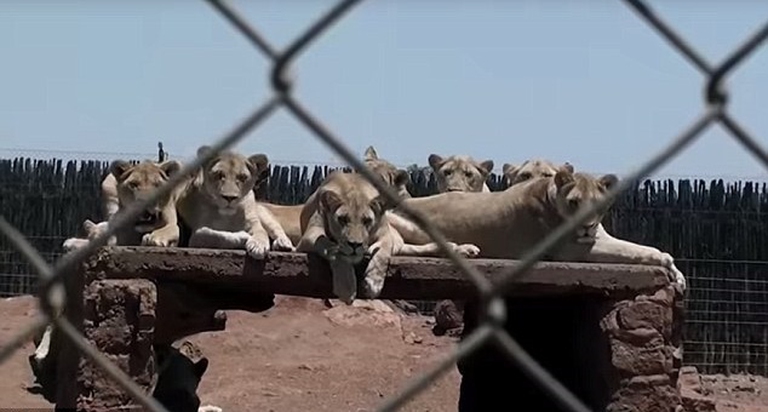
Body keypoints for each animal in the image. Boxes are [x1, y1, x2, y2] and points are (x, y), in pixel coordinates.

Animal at [296, 170, 479, 304]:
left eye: (367, 220)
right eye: (342, 220)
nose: (355, 245)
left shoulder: (385, 235)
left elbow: (383, 254)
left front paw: (373, 284)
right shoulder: (310, 236)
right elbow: (335, 251)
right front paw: (346, 287)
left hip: (409, 228)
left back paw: (464, 249)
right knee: (417, 249)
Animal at [387, 168, 686, 289]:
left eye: (597, 204)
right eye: (574, 202)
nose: (587, 227)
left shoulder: (599, 237)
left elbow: (641, 248)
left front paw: (678, 275)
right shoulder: (571, 250)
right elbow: (636, 251)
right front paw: (669, 266)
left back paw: (465, 249)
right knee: (403, 249)